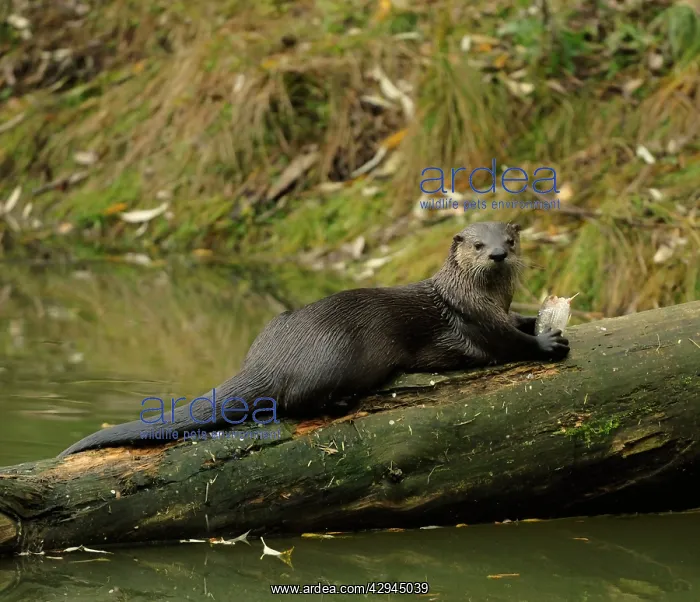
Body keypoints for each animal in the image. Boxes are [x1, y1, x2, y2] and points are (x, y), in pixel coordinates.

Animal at [59, 221, 569, 456]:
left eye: (510, 240)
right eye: (478, 245)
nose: (499, 254)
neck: (478, 295)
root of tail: (267, 359)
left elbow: (518, 322)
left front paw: (541, 321)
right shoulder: (477, 321)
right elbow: (507, 344)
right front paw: (548, 345)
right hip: (338, 356)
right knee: (294, 402)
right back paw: (342, 402)